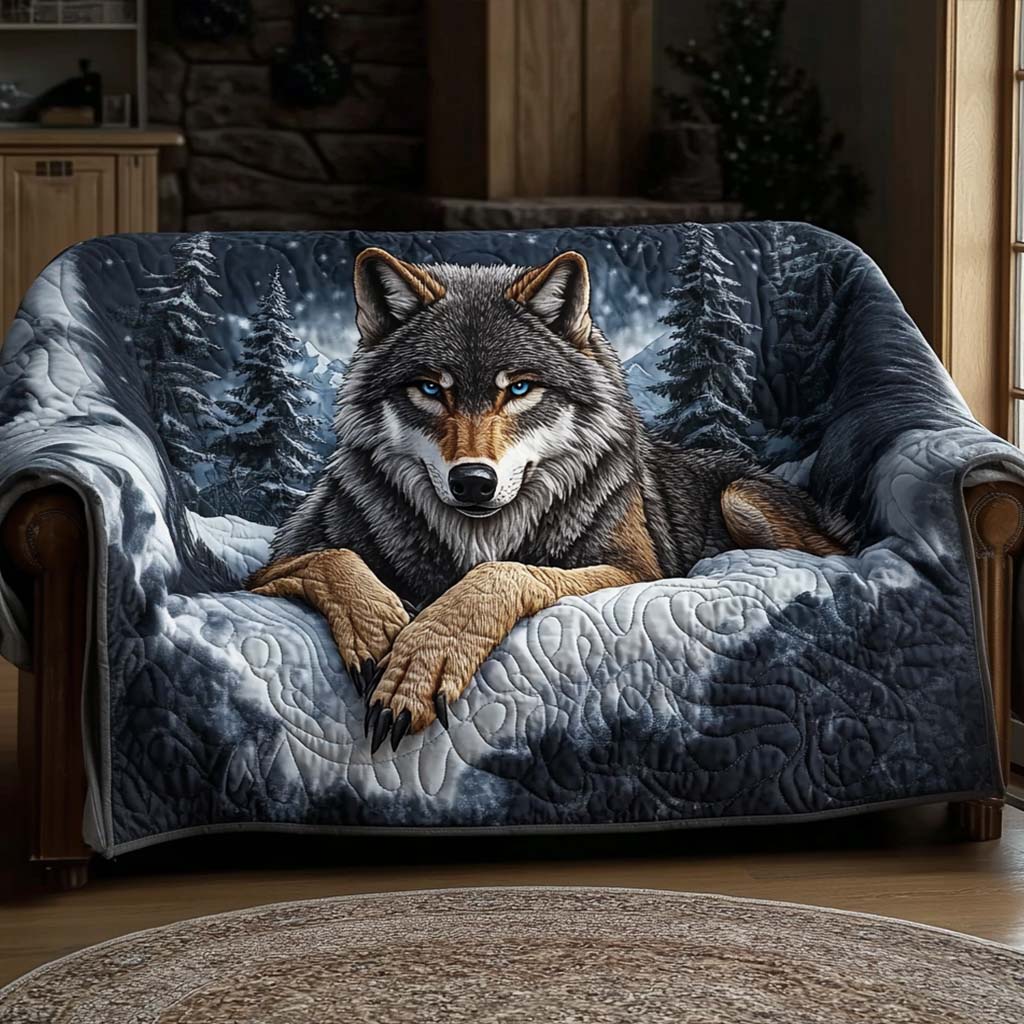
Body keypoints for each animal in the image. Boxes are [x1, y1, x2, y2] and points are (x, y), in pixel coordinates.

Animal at [248, 246, 851, 752]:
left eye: (518, 388)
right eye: (430, 388)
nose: (473, 481)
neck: (480, 534)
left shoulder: (633, 570)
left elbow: (504, 572)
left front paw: (421, 659)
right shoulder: (270, 569)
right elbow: (334, 559)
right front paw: (380, 632)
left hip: (739, 497)